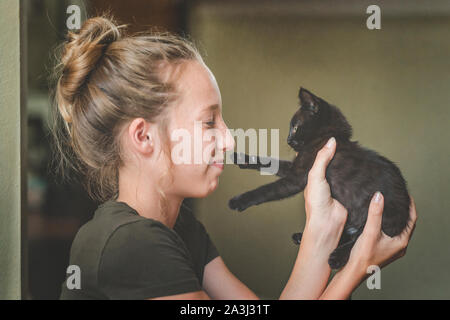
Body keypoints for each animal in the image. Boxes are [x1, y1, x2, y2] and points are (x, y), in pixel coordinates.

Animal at [230, 87, 410, 268]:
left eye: (295, 127)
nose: (288, 140)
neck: (328, 136)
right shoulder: (295, 168)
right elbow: (270, 162)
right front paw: (241, 158)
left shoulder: (297, 178)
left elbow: (266, 190)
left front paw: (239, 201)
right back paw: (301, 237)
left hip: (382, 214)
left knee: (359, 237)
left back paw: (337, 257)